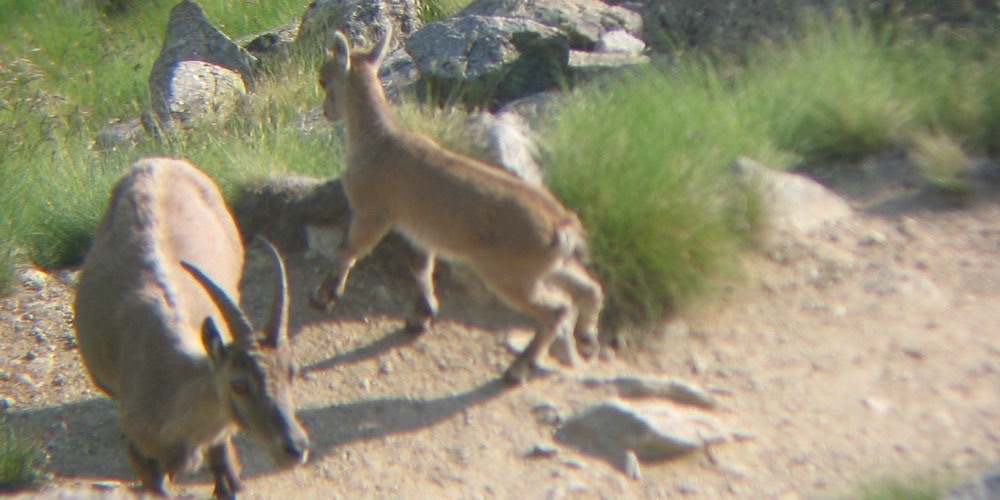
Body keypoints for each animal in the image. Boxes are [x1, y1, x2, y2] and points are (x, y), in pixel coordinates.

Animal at [74, 158, 309, 498]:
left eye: (292, 371)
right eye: (238, 383)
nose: (295, 448)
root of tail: (158, 162)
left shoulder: (220, 444)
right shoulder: (146, 464)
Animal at [309, 27, 604, 384]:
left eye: (324, 78)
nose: (327, 111)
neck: (377, 140)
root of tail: (563, 227)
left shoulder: (372, 212)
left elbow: (349, 250)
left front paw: (323, 296)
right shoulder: (417, 230)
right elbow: (421, 267)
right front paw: (421, 317)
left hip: (510, 272)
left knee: (558, 308)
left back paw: (518, 368)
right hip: (546, 266)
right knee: (589, 289)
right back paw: (586, 341)